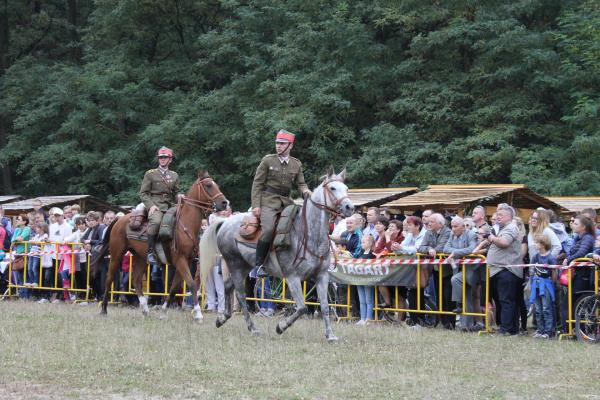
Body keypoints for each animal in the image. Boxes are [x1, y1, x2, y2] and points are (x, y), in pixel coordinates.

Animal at [95, 170, 229, 320]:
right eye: (208, 185)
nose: (224, 203)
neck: (185, 225)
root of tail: (119, 219)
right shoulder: (180, 260)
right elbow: (192, 284)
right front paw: (198, 314)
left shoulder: (186, 261)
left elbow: (174, 287)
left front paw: (164, 311)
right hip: (117, 254)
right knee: (109, 279)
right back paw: (104, 309)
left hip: (141, 258)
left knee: (135, 280)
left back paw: (145, 309)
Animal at [199, 169, 354, 340]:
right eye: (332, 188)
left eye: (346, 188)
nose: (350, 207)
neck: (308, 234)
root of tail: (225, 222)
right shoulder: (293, 277)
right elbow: (302, 308)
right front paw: (281, 326)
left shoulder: (322, 276)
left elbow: (325, 307)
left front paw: (330, 335)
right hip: (235, 265)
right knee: (240, 295)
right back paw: (252, 328)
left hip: (244, 266)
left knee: (228, 287)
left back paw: (222, 318)